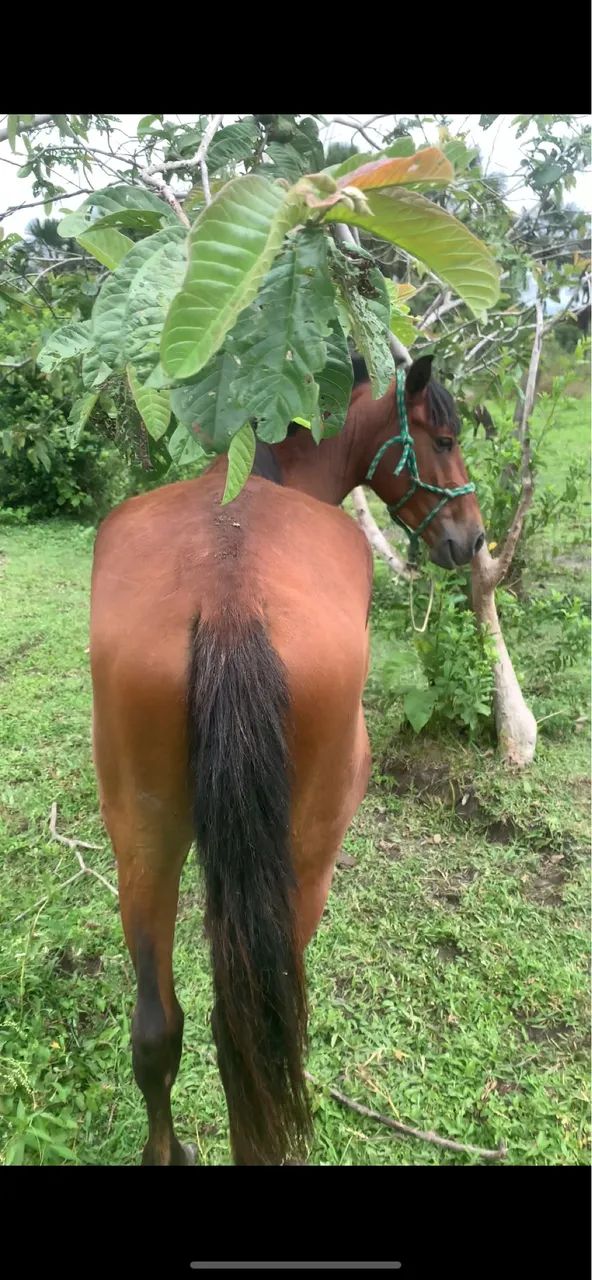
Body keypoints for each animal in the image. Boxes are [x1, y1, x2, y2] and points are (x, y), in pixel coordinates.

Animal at [89, 352, 485, 1166]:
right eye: (443, 438)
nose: (473, 539)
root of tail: (229, 596)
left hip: (141, 842)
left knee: (162, 1031)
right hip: (306, 857)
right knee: (260, 1040)